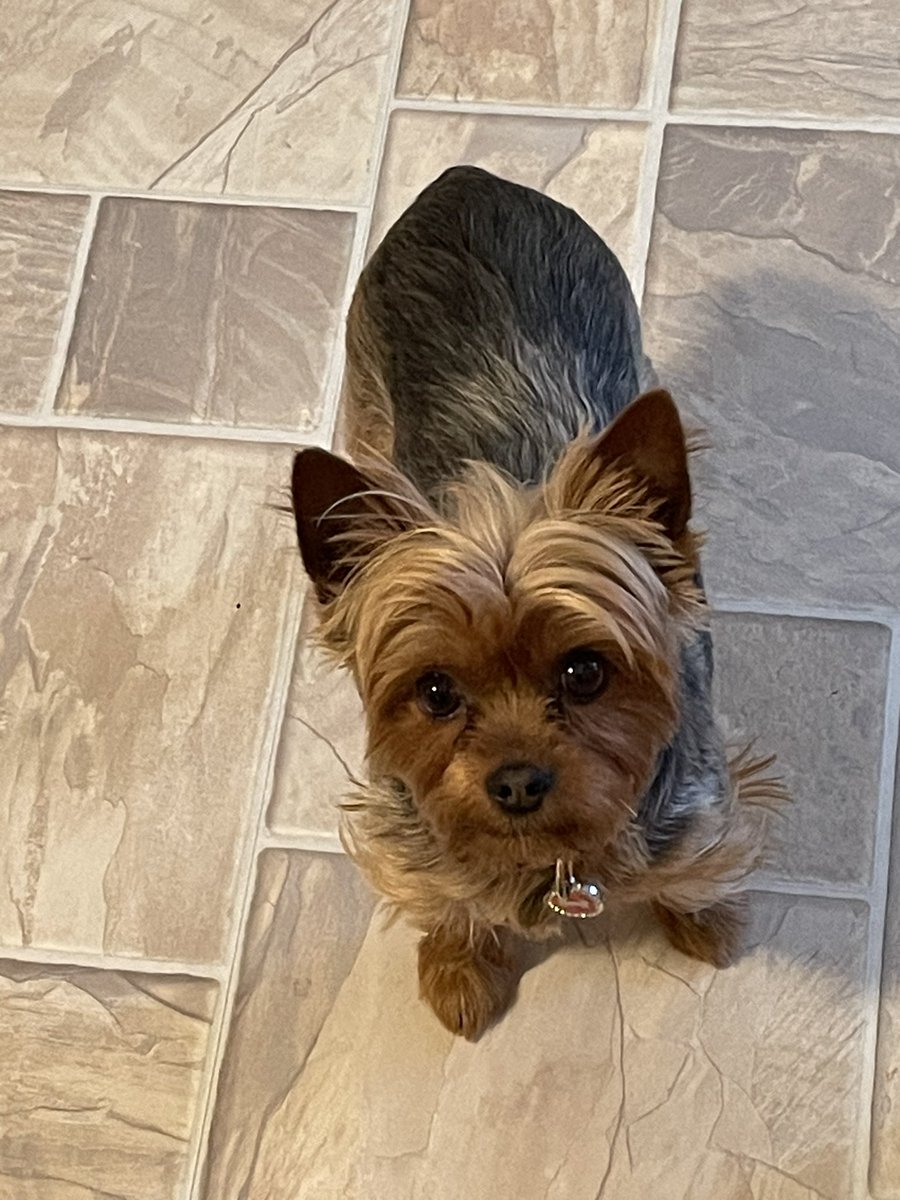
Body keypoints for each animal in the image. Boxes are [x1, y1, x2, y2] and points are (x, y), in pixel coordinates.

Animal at [289, 164, 782, 1036]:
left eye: (585, 672)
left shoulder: (700, 802)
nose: (517, 784)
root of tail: (465, 181)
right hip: (365, 396)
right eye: (436, 691)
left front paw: (705, 922)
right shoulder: (411, 833)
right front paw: (458, 971)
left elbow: (697, 869)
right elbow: (446, 895)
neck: (553, 854)